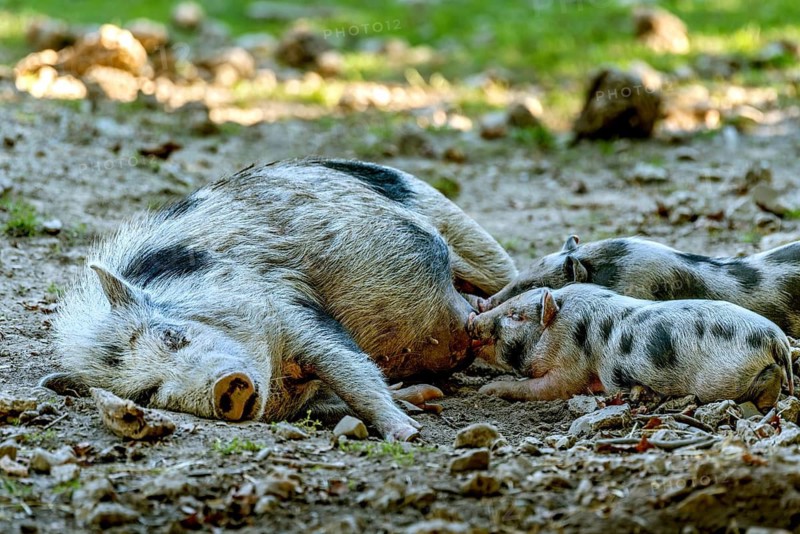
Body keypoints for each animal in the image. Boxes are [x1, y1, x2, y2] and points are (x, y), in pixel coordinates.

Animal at [40, 159, 517, 441]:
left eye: (174, 336)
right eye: (147, 393)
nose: (225, 388)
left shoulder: (286, 305)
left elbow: (349, 367)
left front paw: (409, 435)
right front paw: (417, 403)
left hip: (459, 227)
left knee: (500, 275)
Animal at [468, 284, 794, 411]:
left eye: (516, 316)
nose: (472, 320)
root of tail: (776, 339)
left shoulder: (571, 369)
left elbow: (543, 387)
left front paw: (486, 390)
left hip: (722, 380)